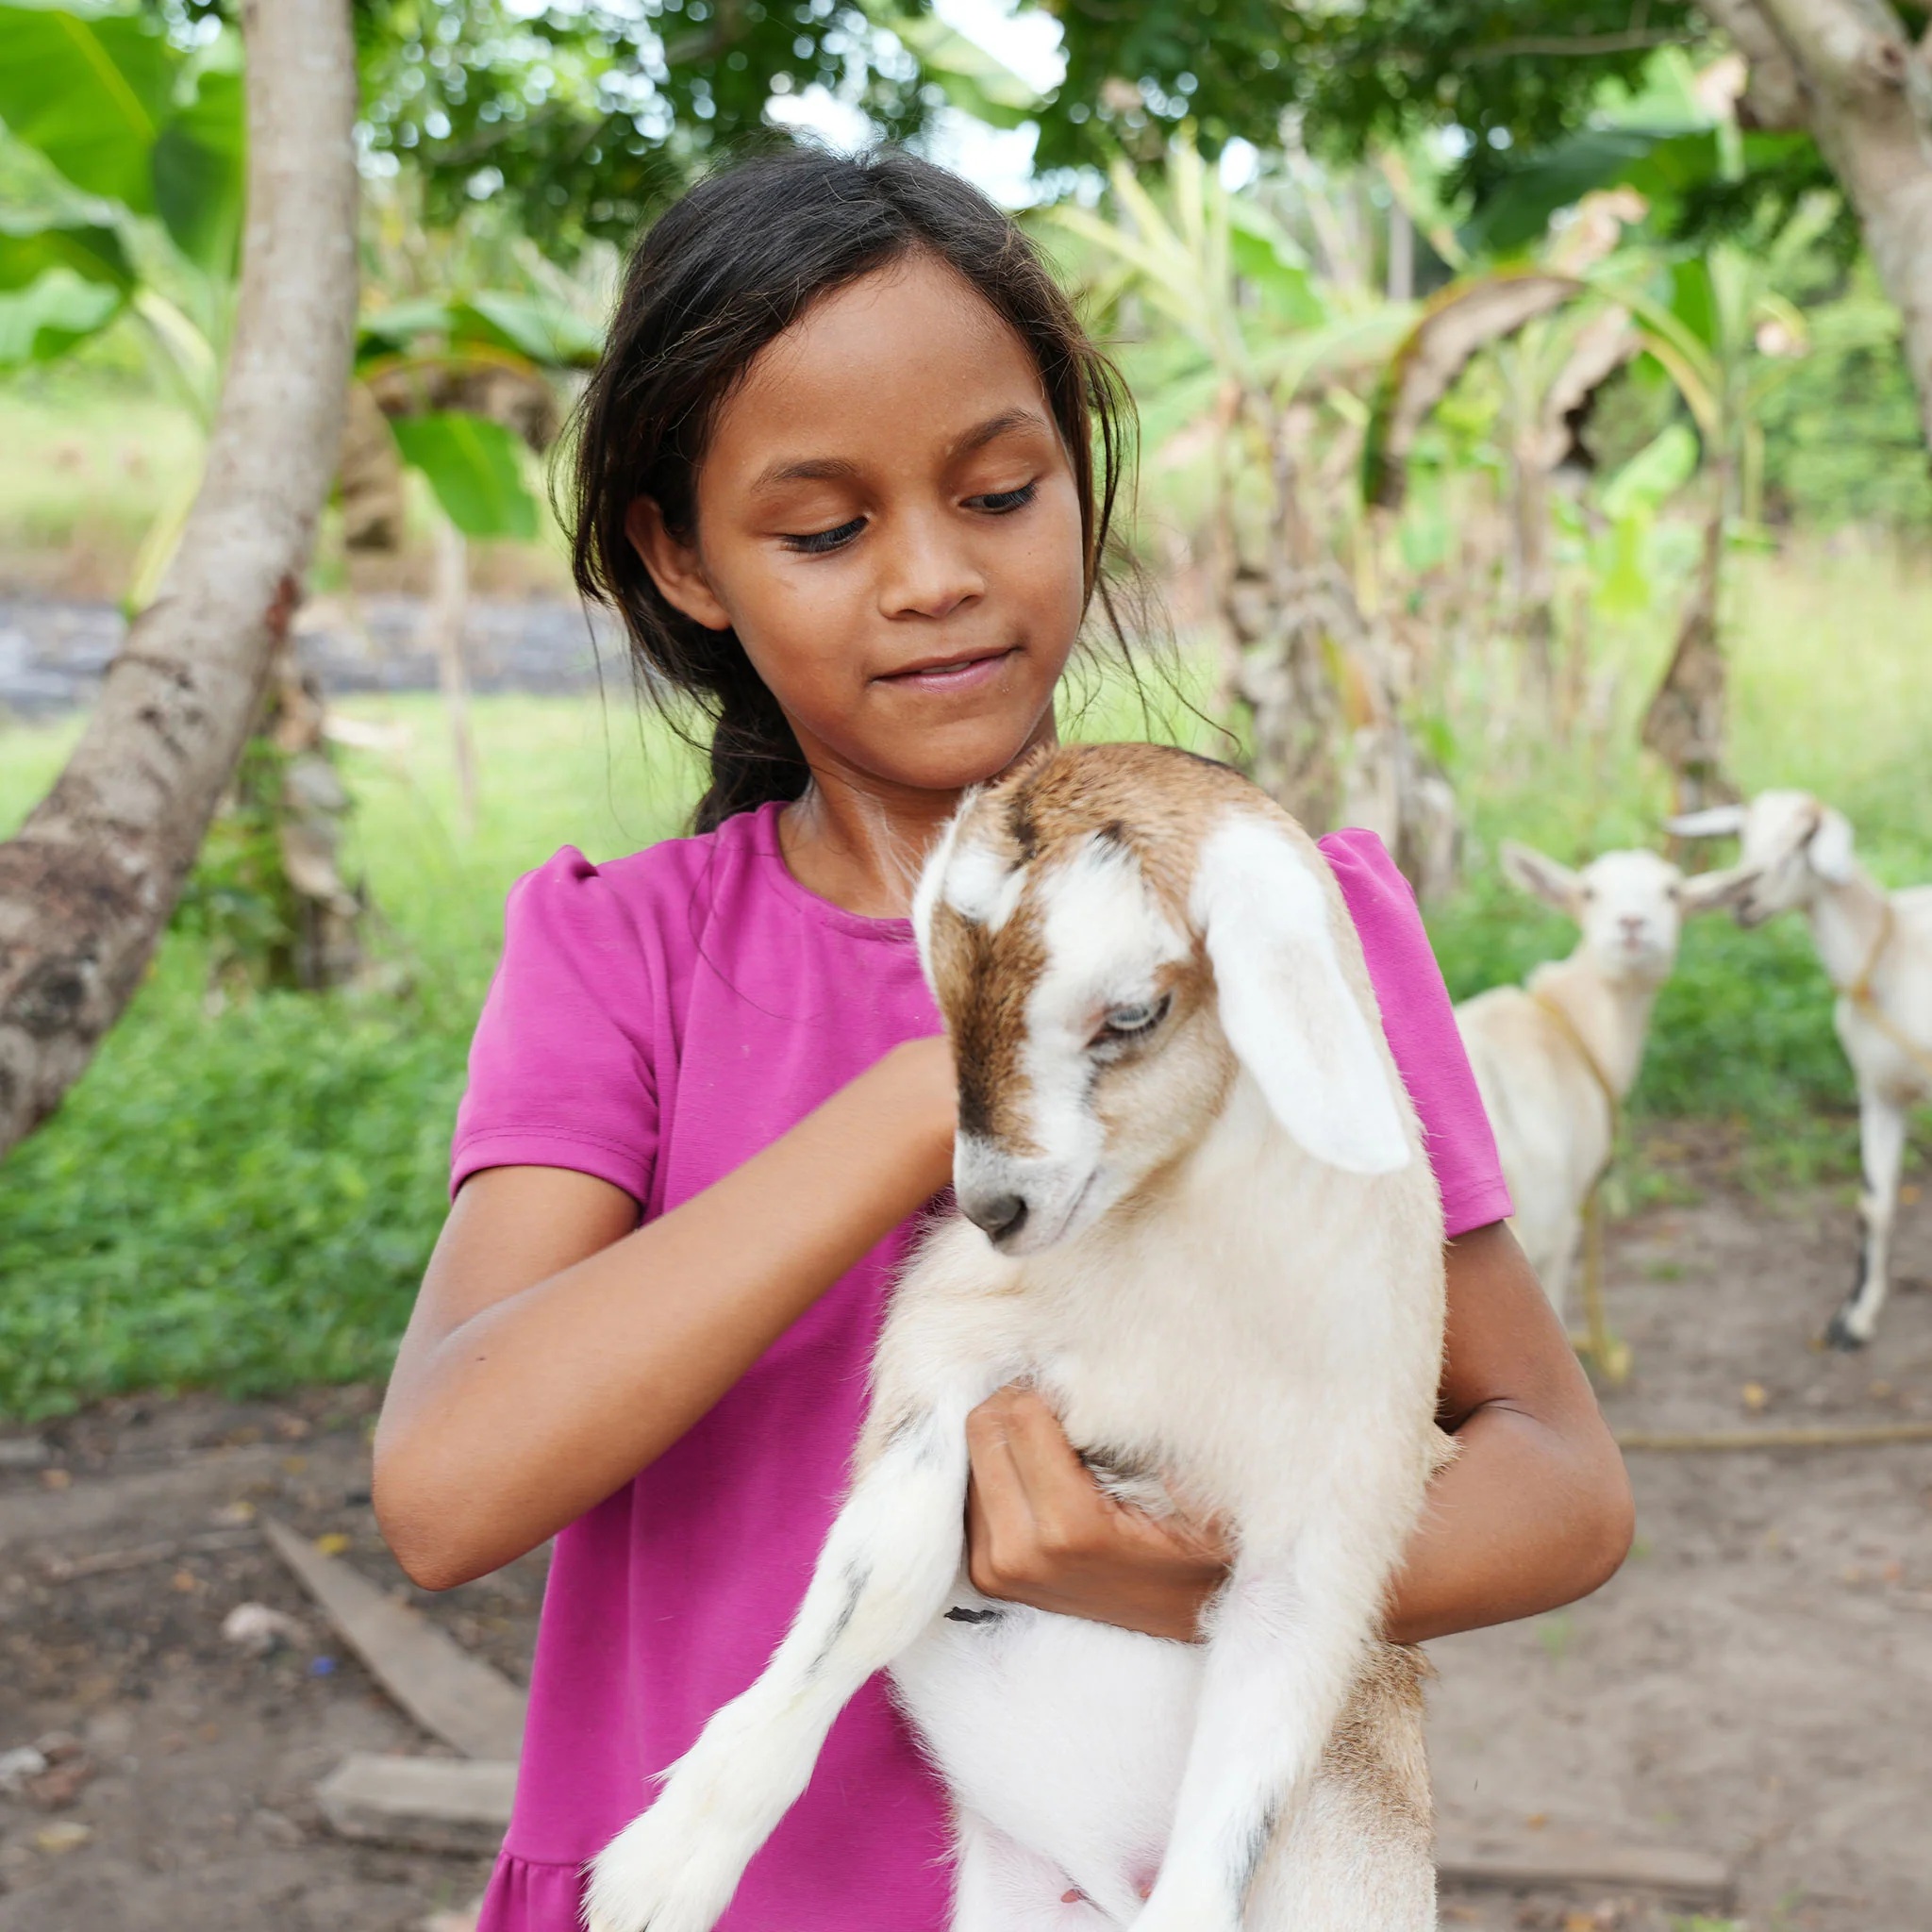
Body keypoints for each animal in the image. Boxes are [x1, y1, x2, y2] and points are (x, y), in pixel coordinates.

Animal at [586, 742, 1450, 1932]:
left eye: (1132, 1010)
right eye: (940, 995)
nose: (992, 1206)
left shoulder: (1330, 1519)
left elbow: (1253, 1752)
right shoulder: (950, 1356)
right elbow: (879, 1576)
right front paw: (666, 1862)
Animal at [1670, 791, 1932, 1348]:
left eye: (1798, 847)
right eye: (1743, 838)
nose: (1744, 905)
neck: (1890, 957)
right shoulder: (1878, 1093)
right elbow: (1873, 1207)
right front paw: (1855, 1318)